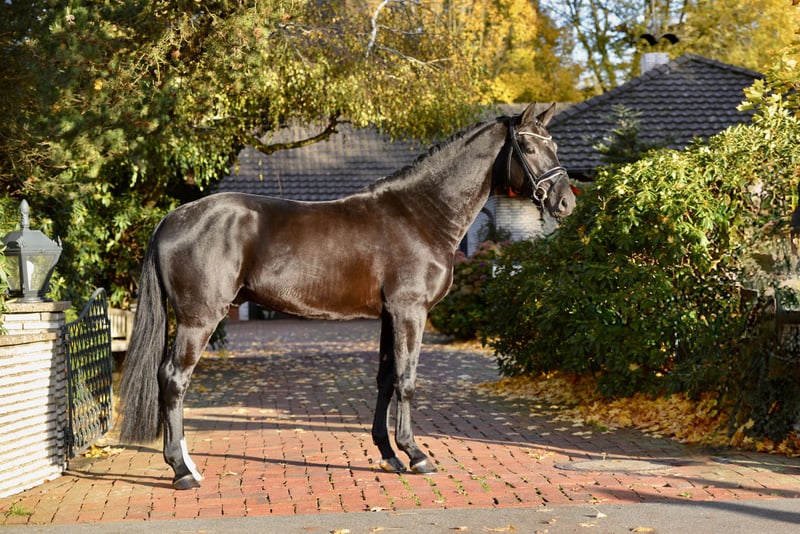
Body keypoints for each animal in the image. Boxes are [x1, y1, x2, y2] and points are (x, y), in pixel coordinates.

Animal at [118, 102, 575, 490]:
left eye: (554, 145)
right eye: (529, 147)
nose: (565, 201)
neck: (419, 215)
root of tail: (172, 219)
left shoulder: (390, 315)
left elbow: (386, 379)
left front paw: (389, 454)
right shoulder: (410, 312)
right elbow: (407, 381)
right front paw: (417, 454)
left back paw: (189, 465)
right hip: (199, 320)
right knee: (174, 380)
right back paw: (181, 472)